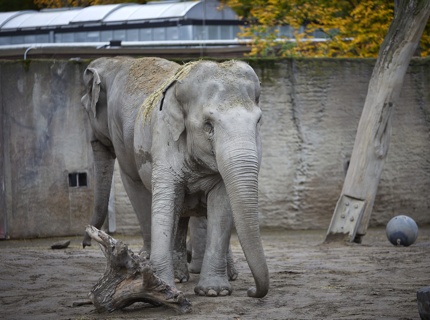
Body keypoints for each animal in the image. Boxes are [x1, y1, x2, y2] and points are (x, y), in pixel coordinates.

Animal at [81, 56, 268, 298]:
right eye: (208, 126)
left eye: (258, 122)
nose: (251, 291)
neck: (116, 63)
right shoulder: (162, 136)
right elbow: (163, 200)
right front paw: (158, 282)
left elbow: (221, 203)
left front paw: (213, 292)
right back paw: (180, 276)